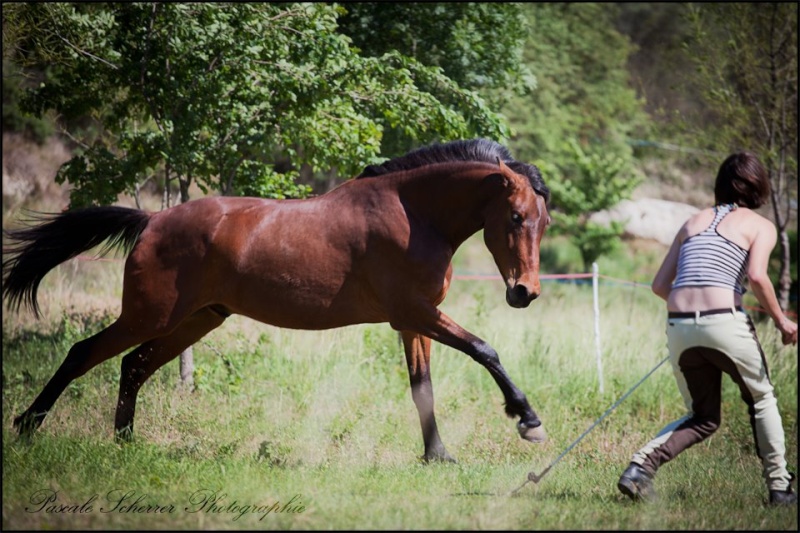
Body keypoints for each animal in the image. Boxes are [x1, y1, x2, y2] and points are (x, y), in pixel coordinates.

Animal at [4, 138, 552, 462]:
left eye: (544, 221)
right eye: (516, 217)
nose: (525, 293)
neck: (413, 215)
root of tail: (151, 221)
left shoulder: (413, 323)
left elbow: (423, 387)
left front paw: (437, 455)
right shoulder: (416, 313)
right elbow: (484, 349)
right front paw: (528, 421)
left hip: (197, 319)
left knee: (133, 366)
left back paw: (125, 443)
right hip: (148, 315)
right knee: (83, 353)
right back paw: (28, 426)